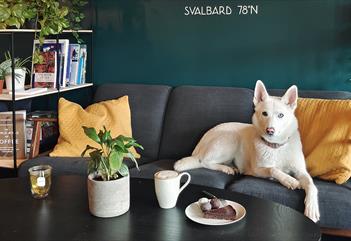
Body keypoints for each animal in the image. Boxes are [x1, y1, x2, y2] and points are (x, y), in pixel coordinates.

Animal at [175, 81, 320, 222]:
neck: (275, 146)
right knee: (204, 161)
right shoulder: (257, 170)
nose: (270, 130)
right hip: (231, 139)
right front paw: (289, 180)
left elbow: (312, 185)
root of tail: (200, 145)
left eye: (281, 115)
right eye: (264, 113)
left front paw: (312, 209)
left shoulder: (301, 171)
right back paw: (225, 168)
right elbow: (273, 169)